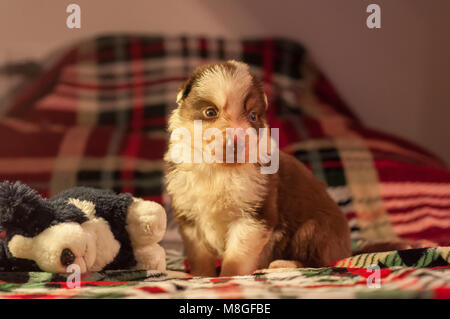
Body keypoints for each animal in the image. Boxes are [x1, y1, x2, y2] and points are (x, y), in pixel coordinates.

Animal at [165, 60, 352, 278]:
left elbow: (237, 256)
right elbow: (200, 256)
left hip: (315, 229)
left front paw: (227, 277)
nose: (236, 143)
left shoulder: (255, 213)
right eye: (210, 112)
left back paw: (281, 265)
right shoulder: (190, 219)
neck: (221, 170)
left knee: (318, 260)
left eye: (253, 116)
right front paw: (201, 276)